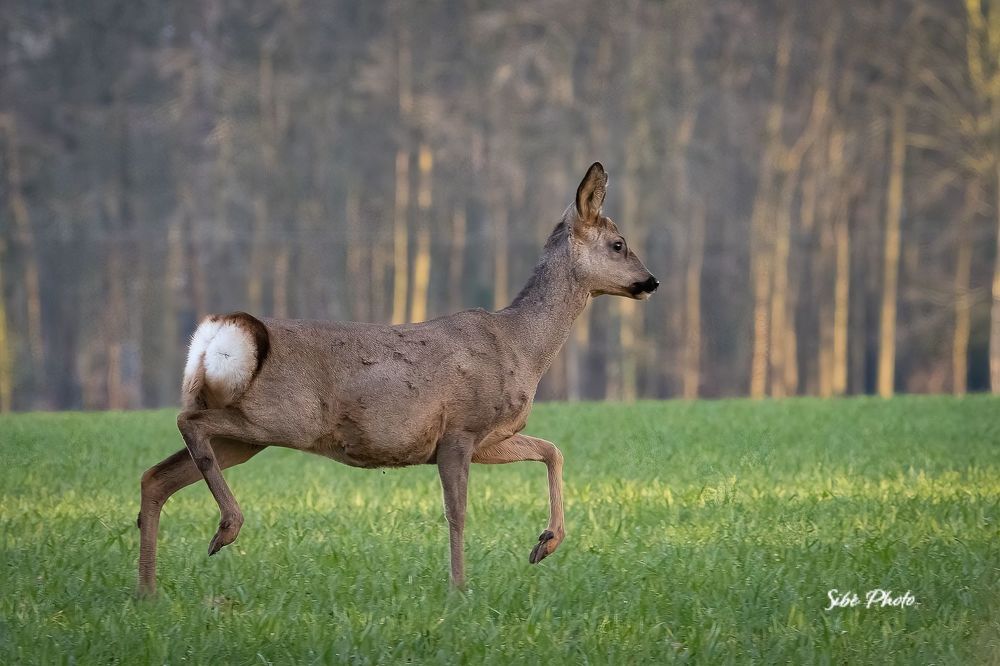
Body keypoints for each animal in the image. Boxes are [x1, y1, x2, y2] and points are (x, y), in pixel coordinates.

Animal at [136, 162, 658, 594]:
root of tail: (215, 334)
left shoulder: (486, 438)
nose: (652, 281)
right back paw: (226, 528)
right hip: (280, 419)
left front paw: (545, 543)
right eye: (618, 244)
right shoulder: (460, 430)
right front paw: (459, 590)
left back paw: (148, 591)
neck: (521, 347)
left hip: (247, 437)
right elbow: (457, 514)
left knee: (156, 476)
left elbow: (552, 451)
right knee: (187, 424)